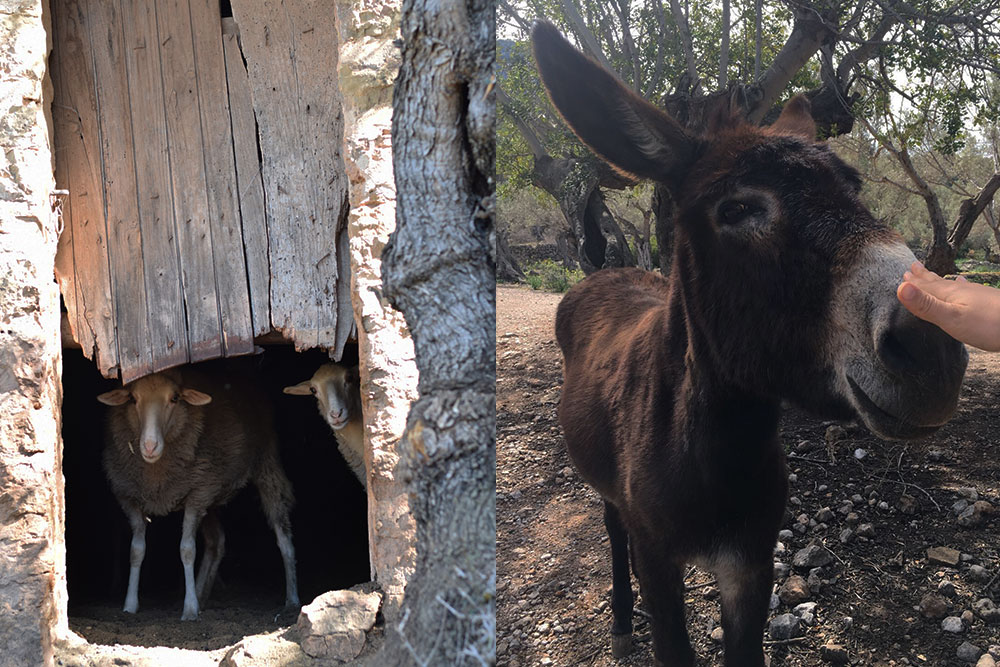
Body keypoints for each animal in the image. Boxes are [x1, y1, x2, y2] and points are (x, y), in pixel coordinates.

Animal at [97, 366, 300, 620]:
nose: (150, 446)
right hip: (210, 492)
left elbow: (187, 550)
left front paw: (190, 609)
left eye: (175, 398)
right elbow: (136, 550)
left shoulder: (196, 496)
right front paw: (130, 605)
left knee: (283, 537)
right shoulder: (129, 498)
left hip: (264, 464)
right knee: (216, 542)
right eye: (133, 399)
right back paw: (203, 594)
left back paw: (292, 599)